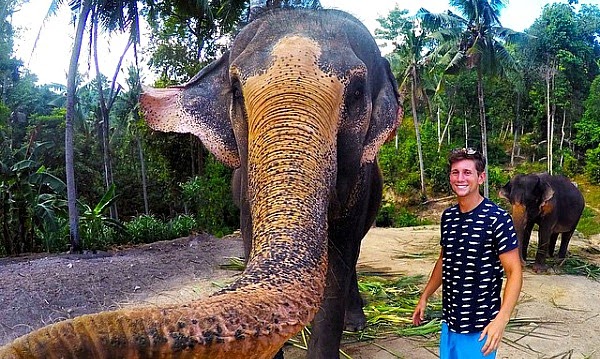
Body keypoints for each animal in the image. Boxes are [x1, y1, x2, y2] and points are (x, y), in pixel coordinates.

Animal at [2, 6, 404, 359]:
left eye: (356, 92)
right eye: (236, 90)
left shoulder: (358, 184)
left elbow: (336, 268)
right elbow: (251, 245)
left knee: (353, 254)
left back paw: (356, 323)